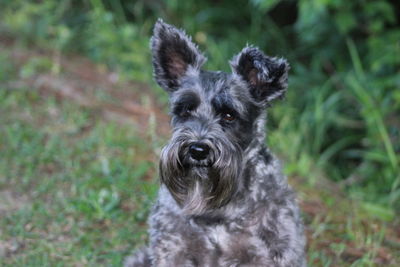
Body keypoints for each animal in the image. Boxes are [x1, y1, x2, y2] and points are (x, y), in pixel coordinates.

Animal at [125, 19, 306, 267]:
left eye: (229, 115)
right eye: (185, 109)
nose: (197, 149)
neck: (217, 210)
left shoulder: (268, 254)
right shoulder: (173, 248)